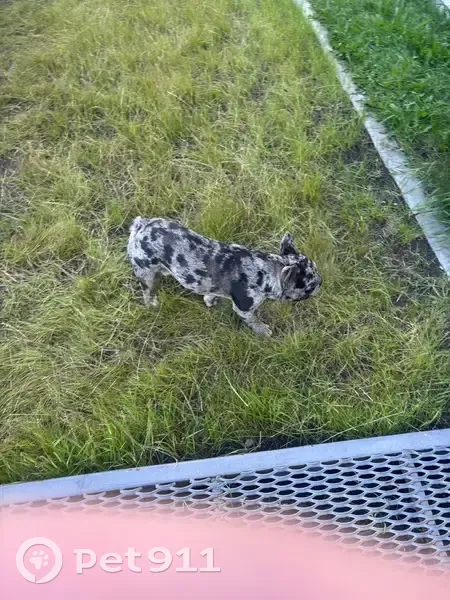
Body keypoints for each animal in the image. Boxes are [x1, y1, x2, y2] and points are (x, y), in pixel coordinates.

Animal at [127, 217, 322, 336]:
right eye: (309, 287)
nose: (321, 281)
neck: (268, 270)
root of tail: (141, 225)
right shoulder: (244, 309)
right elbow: (253, 319)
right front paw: (263, 330)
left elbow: (209, 292)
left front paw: (210, 300)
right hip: (146, 272)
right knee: (147, 290)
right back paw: (152, 303)